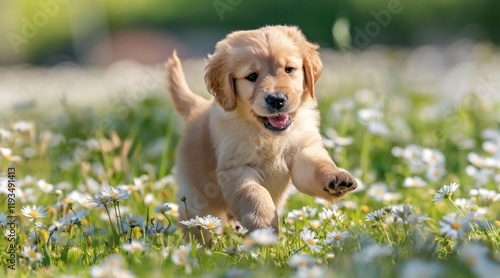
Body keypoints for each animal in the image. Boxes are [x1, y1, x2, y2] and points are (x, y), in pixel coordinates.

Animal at [166, 25, 358, 237]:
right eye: (251, 76)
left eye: (289, 69)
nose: (276, 99)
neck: (269, 135)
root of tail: (197, 107)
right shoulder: (236, 168)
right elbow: (255, 194)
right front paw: (264, 224)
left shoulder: (304, 151)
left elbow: (318, 166)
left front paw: (337, 178)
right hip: (197, 202)